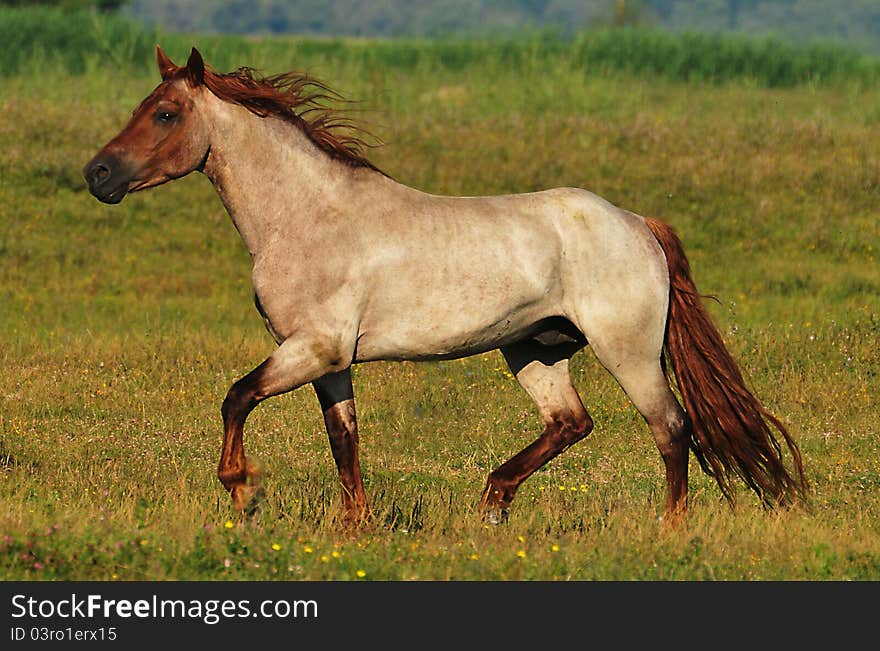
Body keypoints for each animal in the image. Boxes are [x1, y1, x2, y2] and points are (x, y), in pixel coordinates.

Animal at [82, 47, 804, 524]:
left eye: (166, 114)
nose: (98, 175)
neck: (307, 216)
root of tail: (637, 224)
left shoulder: (312, 347)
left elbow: (236, 397)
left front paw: (242, 488)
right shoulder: (329, 360)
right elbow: (344, 440)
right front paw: (355, 527)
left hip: (627, 352)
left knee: (671, 428)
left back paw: (667, 528)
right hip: (534, 349)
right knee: (571, 422)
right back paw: (492, 504)